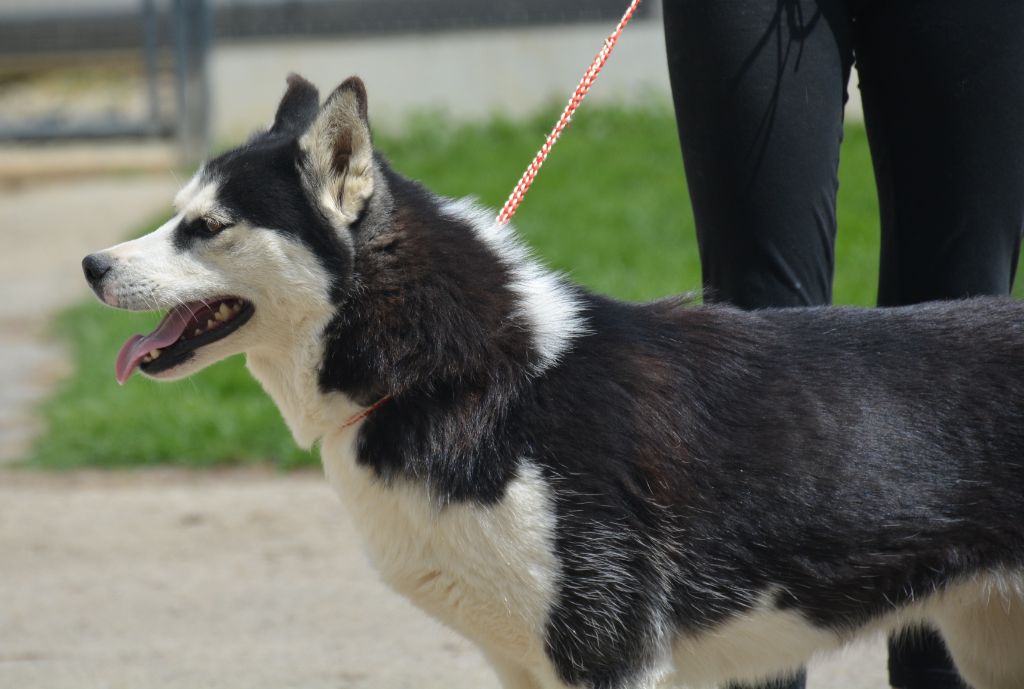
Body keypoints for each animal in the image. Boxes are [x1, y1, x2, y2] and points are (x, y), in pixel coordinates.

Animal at [83, 76, 1024, 687]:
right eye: (176, 213)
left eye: (208, 226)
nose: (91, 264)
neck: (458, 374)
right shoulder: (522, 664)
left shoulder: (605, 654)